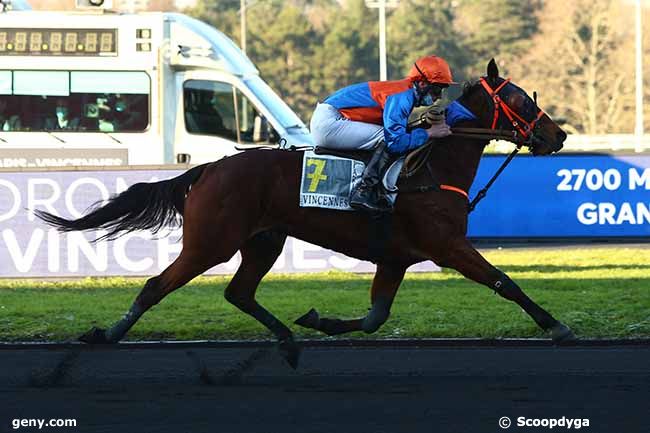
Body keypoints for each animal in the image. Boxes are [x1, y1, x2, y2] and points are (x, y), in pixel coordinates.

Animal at [36, 59, 572, 366]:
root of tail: (208, 168)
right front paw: (556, 325)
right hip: (211, 242)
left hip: (263, 240)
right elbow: (505, 281)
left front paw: (320, 320)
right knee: (156, 285)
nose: (559, 135)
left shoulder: (396, 257)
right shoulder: (448, 245)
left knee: (239, 292)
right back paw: (106, 334)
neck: (432, 167)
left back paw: (288, 338)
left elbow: (375, 316)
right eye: (520, 98)